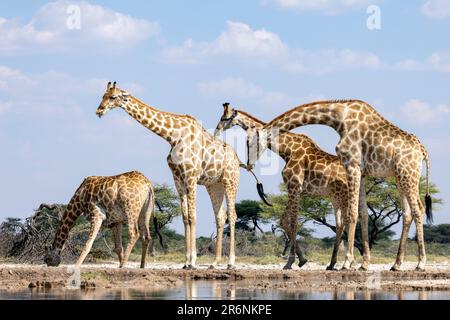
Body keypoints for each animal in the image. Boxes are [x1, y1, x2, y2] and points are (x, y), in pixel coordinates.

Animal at [96, 81, 268, 268]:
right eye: (103, 95)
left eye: (113, 97)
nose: (99, 111)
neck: (173, 136)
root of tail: (238, 159)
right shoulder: (178, 179)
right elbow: (186, 217)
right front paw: (186, 261)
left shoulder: (191, 177)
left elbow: (193, 216)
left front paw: (192, 261)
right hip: (214, 185)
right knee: (221, 216)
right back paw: (215, 262)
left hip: (231, 181)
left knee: (233, 215)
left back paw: (230, 262)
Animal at [214, 103, 370, 270]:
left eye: (224, 118)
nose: (216, 131)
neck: (286, 150)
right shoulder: (296, 190)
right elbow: (283, 220)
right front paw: (302, 259)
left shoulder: (294, 186)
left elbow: (294, 221)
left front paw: (290, 261)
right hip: (335, 197)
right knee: (344, 222)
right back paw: (333, 263)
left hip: (343, 196)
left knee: (349, 219)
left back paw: (348, 262)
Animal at [250, 99, 432, 270]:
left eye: (251, 141)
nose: (249, 163)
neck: (340, 119)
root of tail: (423, 151)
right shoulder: (362, 172)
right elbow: (363, 213)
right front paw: (363, 264)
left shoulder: (352, 165)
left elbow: (351, 213)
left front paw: (347, 262)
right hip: (401, 177)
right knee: (408, 213)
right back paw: (396, 264)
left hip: (408, 174)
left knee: (418, 210)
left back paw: (420, 263)